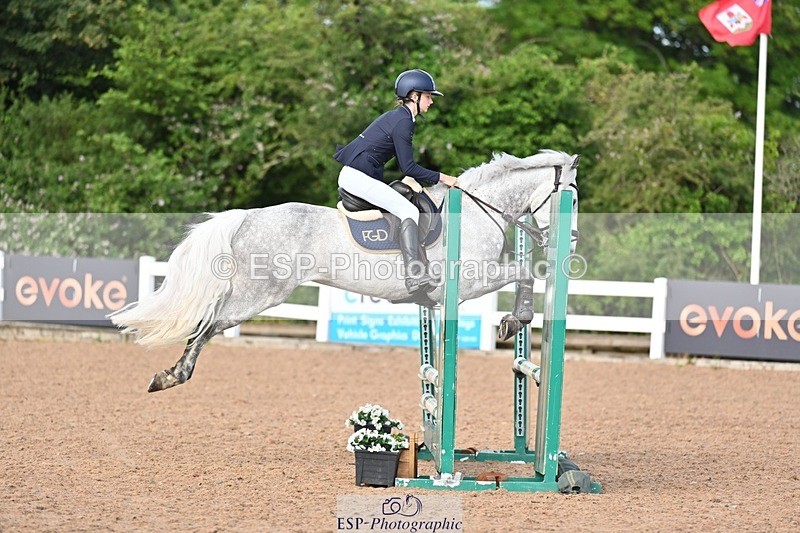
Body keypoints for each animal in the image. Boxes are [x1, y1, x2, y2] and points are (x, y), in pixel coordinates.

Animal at [110, 150, 580, 392]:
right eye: (570, 197)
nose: (571, 243)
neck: (480, 211)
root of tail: (247, 216)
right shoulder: (468, 283)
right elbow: (525, 274)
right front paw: (514, 321)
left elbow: (524, 274)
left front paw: (512, 322)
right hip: (261, 293)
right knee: (207, 323)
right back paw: (172, 376)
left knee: (208, 322)